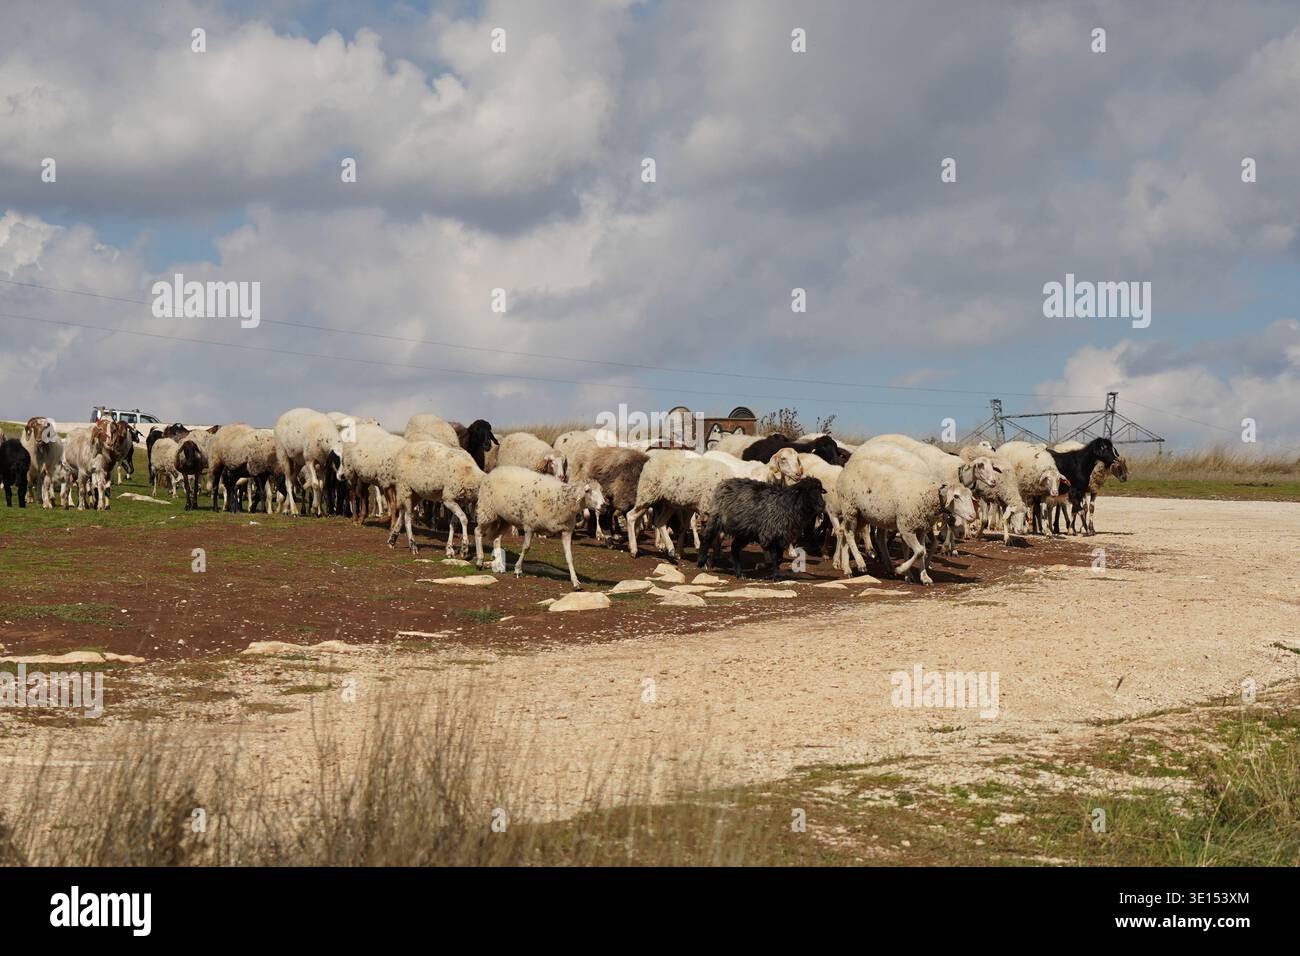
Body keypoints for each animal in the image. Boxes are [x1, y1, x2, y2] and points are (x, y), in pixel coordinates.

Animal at [473, 465, 606, 590]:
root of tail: (495, 470)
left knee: (496, 539)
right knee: (477, 532)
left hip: (505, 518)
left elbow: (569, 557)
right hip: (487, 510)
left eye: (601, 490)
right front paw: (517, 569)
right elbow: (526, 548)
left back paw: (499, 565)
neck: (562, 501)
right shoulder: (529, 526)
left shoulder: (566, 531)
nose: (604, 505)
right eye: (587, 491)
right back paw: (480, 561)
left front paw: (575, 582)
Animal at [698, 477, 826, 579]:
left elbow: (779, 558)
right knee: (706, 537)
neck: (789, 504)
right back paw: (701, 561)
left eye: (820, 491)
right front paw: (774, 576)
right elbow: (774, 556)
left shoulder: (781, 537)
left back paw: (739, 573)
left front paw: (771, 572)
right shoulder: (770, 533)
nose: (822, 505)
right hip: (717, 518)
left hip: (745, 531)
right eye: (807, 491)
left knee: (734, 548)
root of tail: (726, 482)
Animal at [835, 457, 977, 585]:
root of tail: (846, 468)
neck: (930, 495)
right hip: (850, 508)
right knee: (849, 534)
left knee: (846, 533)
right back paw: (860, 563)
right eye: (956, 496)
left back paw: (847, 569)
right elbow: (919, 551)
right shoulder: (906, 529)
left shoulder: (921, 528)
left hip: (863, 515)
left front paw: (924, 577)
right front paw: (901, 569)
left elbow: (921, 551)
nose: (973, 516)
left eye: (971, 496)